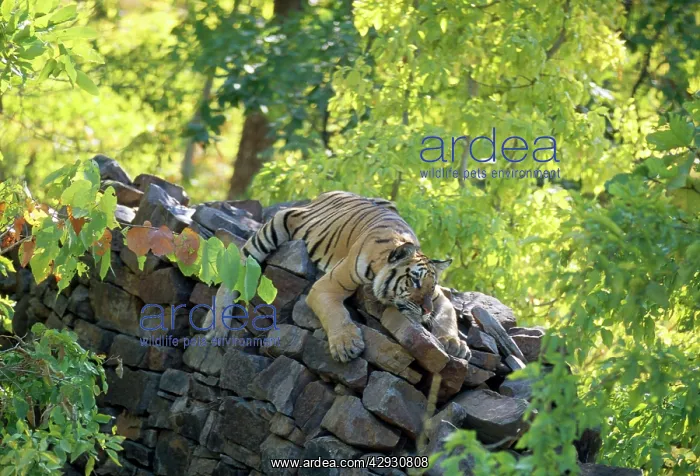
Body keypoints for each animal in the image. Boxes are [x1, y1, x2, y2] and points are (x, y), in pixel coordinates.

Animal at [211, 191, 470, 363]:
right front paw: (346, 344)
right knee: (233, 276)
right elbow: (336, 313)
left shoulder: (440, 298)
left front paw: (455, 344)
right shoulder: (327, 286)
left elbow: (448, 315)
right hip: (273, 229)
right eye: (414, 281)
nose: (426, 310)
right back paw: (217, 329)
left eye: (431, 286)